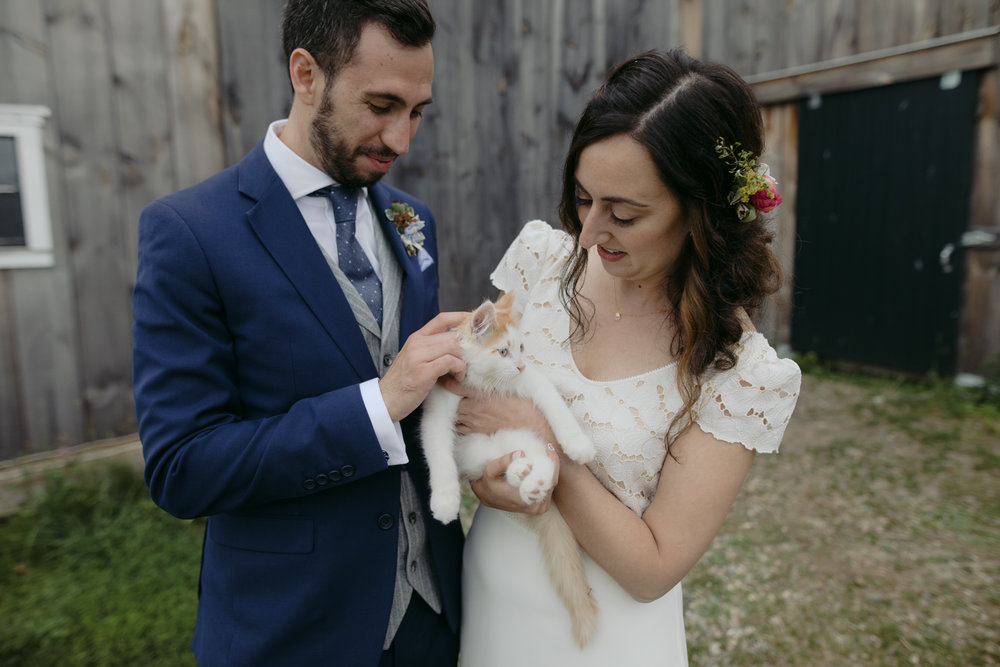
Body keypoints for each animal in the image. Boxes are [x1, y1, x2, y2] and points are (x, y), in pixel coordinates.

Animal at [418, 294, 596, 648]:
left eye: (521, 348)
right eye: (502, 351)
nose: (520, 365)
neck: (487, 383)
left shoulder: (534, 384)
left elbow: (557, 407)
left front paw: (577, 443)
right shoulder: (437, 410)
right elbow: (439, 456)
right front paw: (444, 501)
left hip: (524, 439)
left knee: (547, 458)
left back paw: (534, 479)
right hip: (478, 449)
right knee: (514, 461)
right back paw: (522, 475)